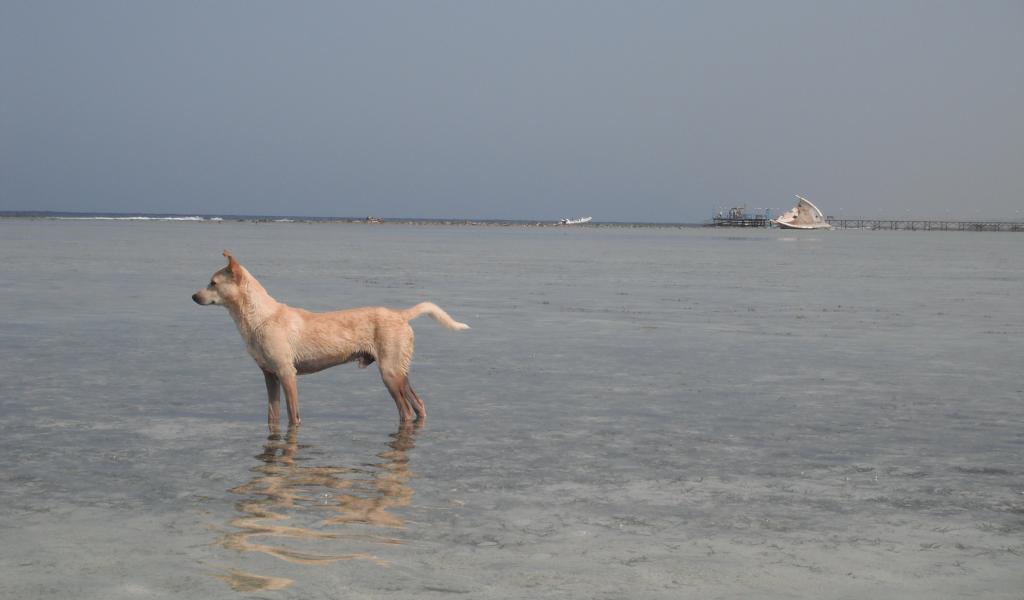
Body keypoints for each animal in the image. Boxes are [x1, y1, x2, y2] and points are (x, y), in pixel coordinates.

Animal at [192, 251, 469, 425]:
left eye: (213, 283)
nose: (194, 297)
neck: (259, 317)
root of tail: (401, 315)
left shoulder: (286, 373)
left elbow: (293, 415)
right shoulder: (269, 375)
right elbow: (273, 415)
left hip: (390, 373)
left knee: (406, 410)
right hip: (399, 371)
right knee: (419, 404)